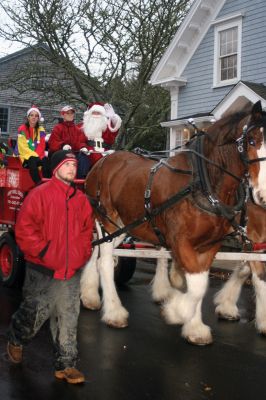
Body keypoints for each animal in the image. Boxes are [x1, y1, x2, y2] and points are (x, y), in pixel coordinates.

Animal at [80, 101, 266, 346]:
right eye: (251, 141)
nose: (262, 195)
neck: (204, 184)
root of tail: (102, 160)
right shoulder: (181, 241)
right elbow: (197, 287)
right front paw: (176, 311)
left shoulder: (210, 245)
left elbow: (200, 282)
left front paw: (194, 327)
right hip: (106, 220)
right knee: (105, 263)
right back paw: (114, 313)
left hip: (122, 225)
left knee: (99, 254)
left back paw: (89, 295)